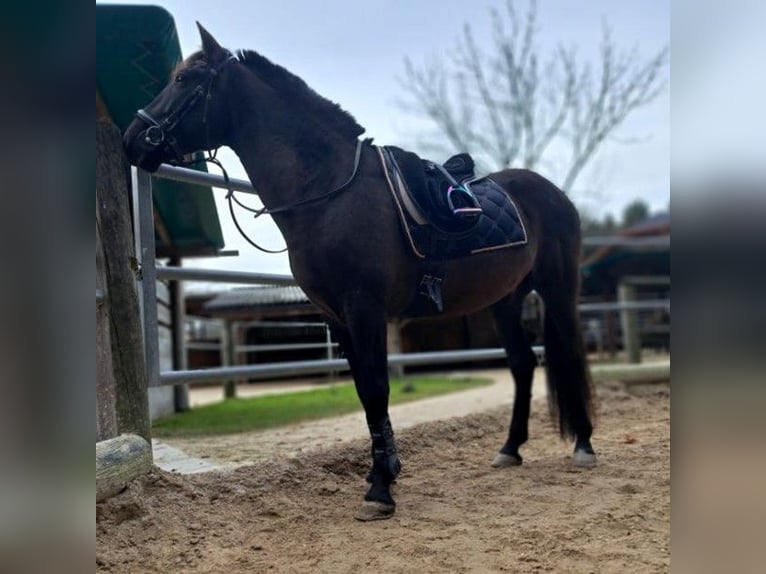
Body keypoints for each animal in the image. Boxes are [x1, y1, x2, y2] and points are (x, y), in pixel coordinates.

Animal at [123, 24, 597, 521]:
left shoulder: (365, 309)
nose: (131, 138)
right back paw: (509, 449)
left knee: (570, 353)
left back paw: (583, 445)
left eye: (184, 79)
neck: (330, 193)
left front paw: (381, 489)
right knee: (523, 364)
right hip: (505, 300)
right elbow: (365, 395)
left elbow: (376, 389)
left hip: (558, 290)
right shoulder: (337, 317)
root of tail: (554, 194)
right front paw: (383, 473)